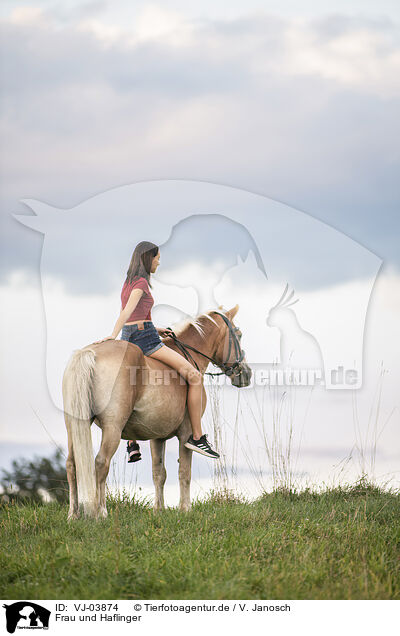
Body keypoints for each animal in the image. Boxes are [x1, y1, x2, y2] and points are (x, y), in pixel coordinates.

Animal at [61, 306, 250, 520]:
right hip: (113, 428)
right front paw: (185, 509)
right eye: (239, 334)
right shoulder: (186, 433)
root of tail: (90, 352)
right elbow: (184, 472)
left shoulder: (157, 437)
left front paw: (158, 510)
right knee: (101, 462)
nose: (246, 374)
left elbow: (159, 473)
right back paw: (101, 512)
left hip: (74, 425)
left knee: (71, 464)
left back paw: (73, 514)